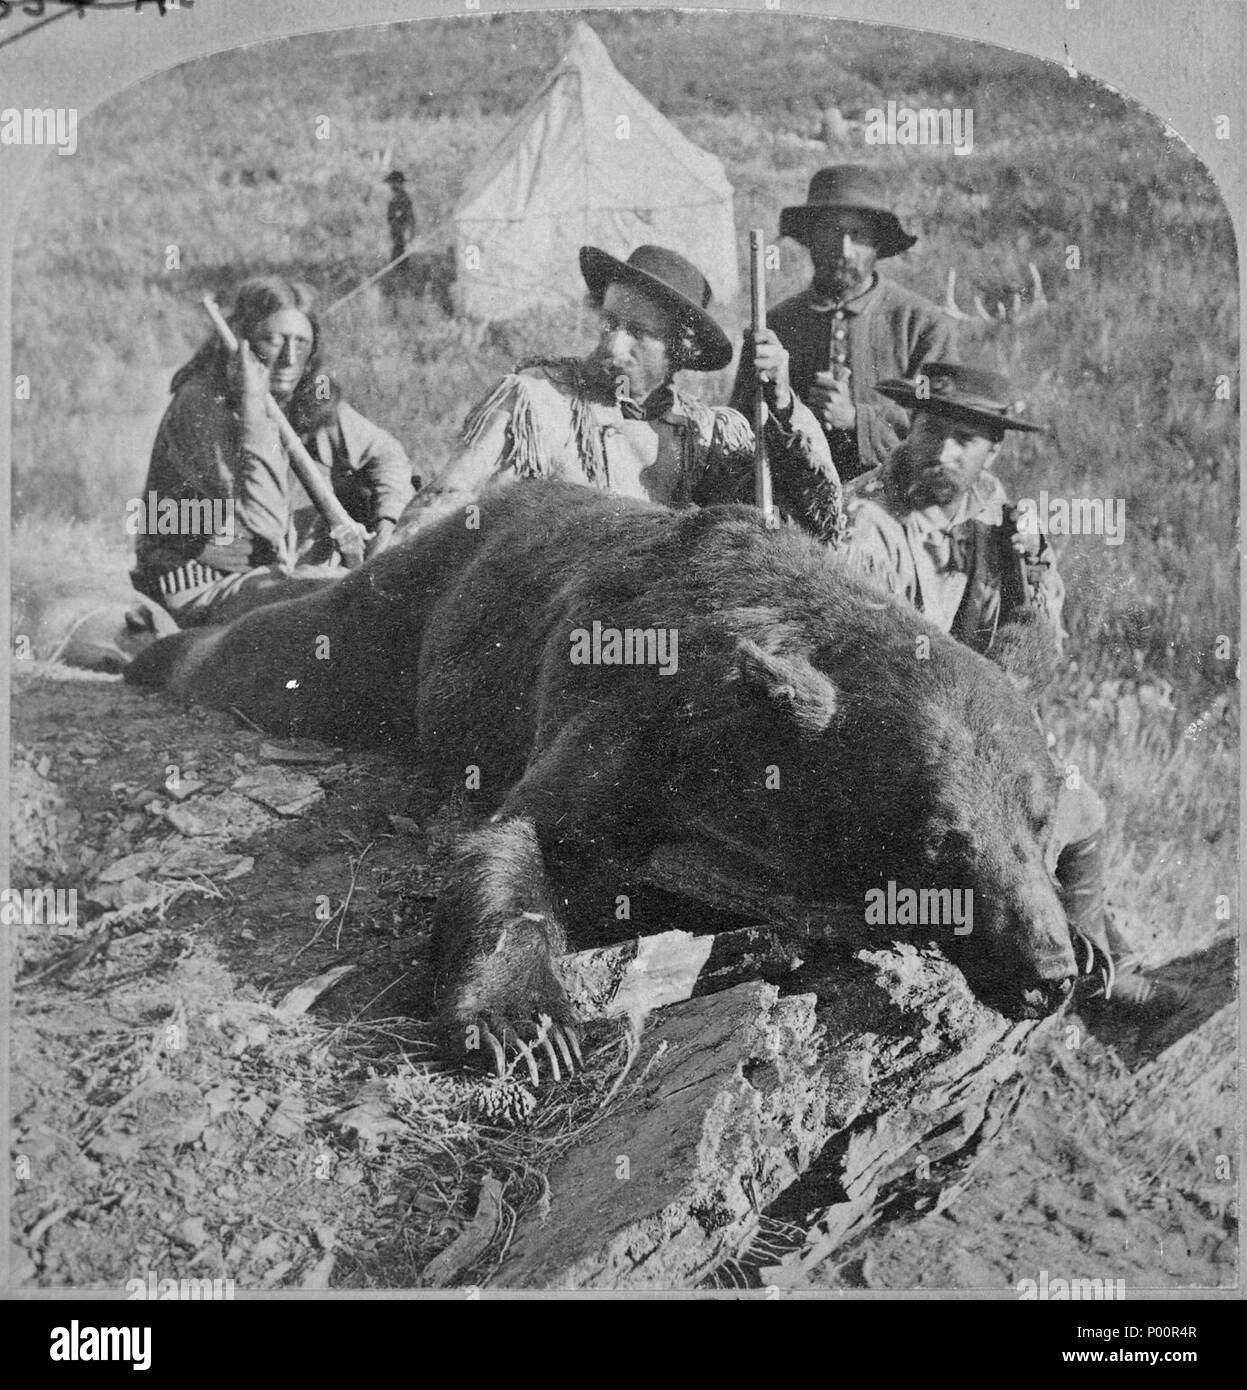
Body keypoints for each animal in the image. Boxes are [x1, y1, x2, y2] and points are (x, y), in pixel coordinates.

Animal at [129, 483, 1078, 1067]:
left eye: (1039, 828)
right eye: (939, 841)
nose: (1050, 970)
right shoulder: (639, 710)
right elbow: (520, 841)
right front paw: (521, 1025)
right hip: (405, 615)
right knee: (289, 651)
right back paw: (149, 650)